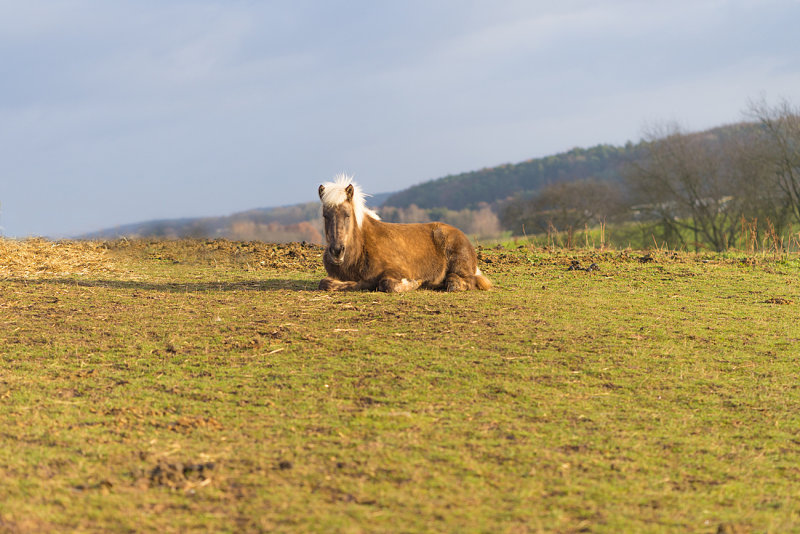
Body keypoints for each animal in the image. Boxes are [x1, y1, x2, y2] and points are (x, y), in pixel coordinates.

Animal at [316, 175, 490, 294]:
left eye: (347, 215)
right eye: (325, 215)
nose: (337, 251)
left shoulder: (396, 271)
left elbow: (387, 283)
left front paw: (414, 283)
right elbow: (325, 283)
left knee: (465, 281)